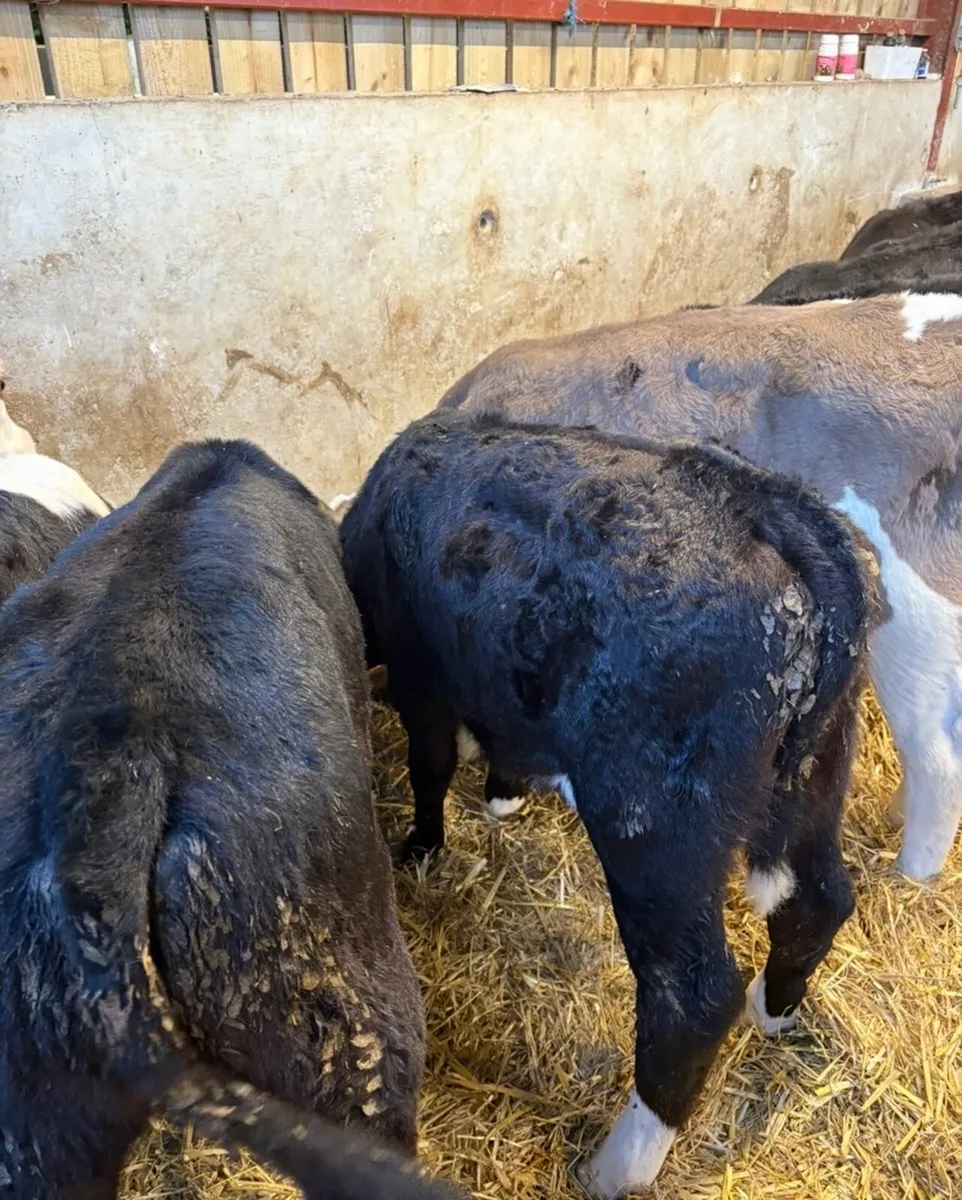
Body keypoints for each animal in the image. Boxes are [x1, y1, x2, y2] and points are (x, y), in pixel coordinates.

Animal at [340, 410, 875, 1200]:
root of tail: (769, 505)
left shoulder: (422, 675)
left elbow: (429, 764)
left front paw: (422, 846)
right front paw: (503, 793)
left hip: (654, 829)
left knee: (691, 999)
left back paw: (615, 1166)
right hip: (813, 780)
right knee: (819, 900)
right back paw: (774, 1010)